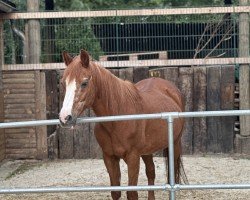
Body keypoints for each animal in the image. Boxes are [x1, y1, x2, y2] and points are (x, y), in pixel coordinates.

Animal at [59, 49, 186, 199]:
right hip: (147, 151)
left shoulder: (133, 158)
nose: (65, 117)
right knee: (151, 172)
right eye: (63, 83)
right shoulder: (109, 157)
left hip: (175, 144)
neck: (117, 119)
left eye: (84, 83)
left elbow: (131, 193)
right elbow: (115, 192)